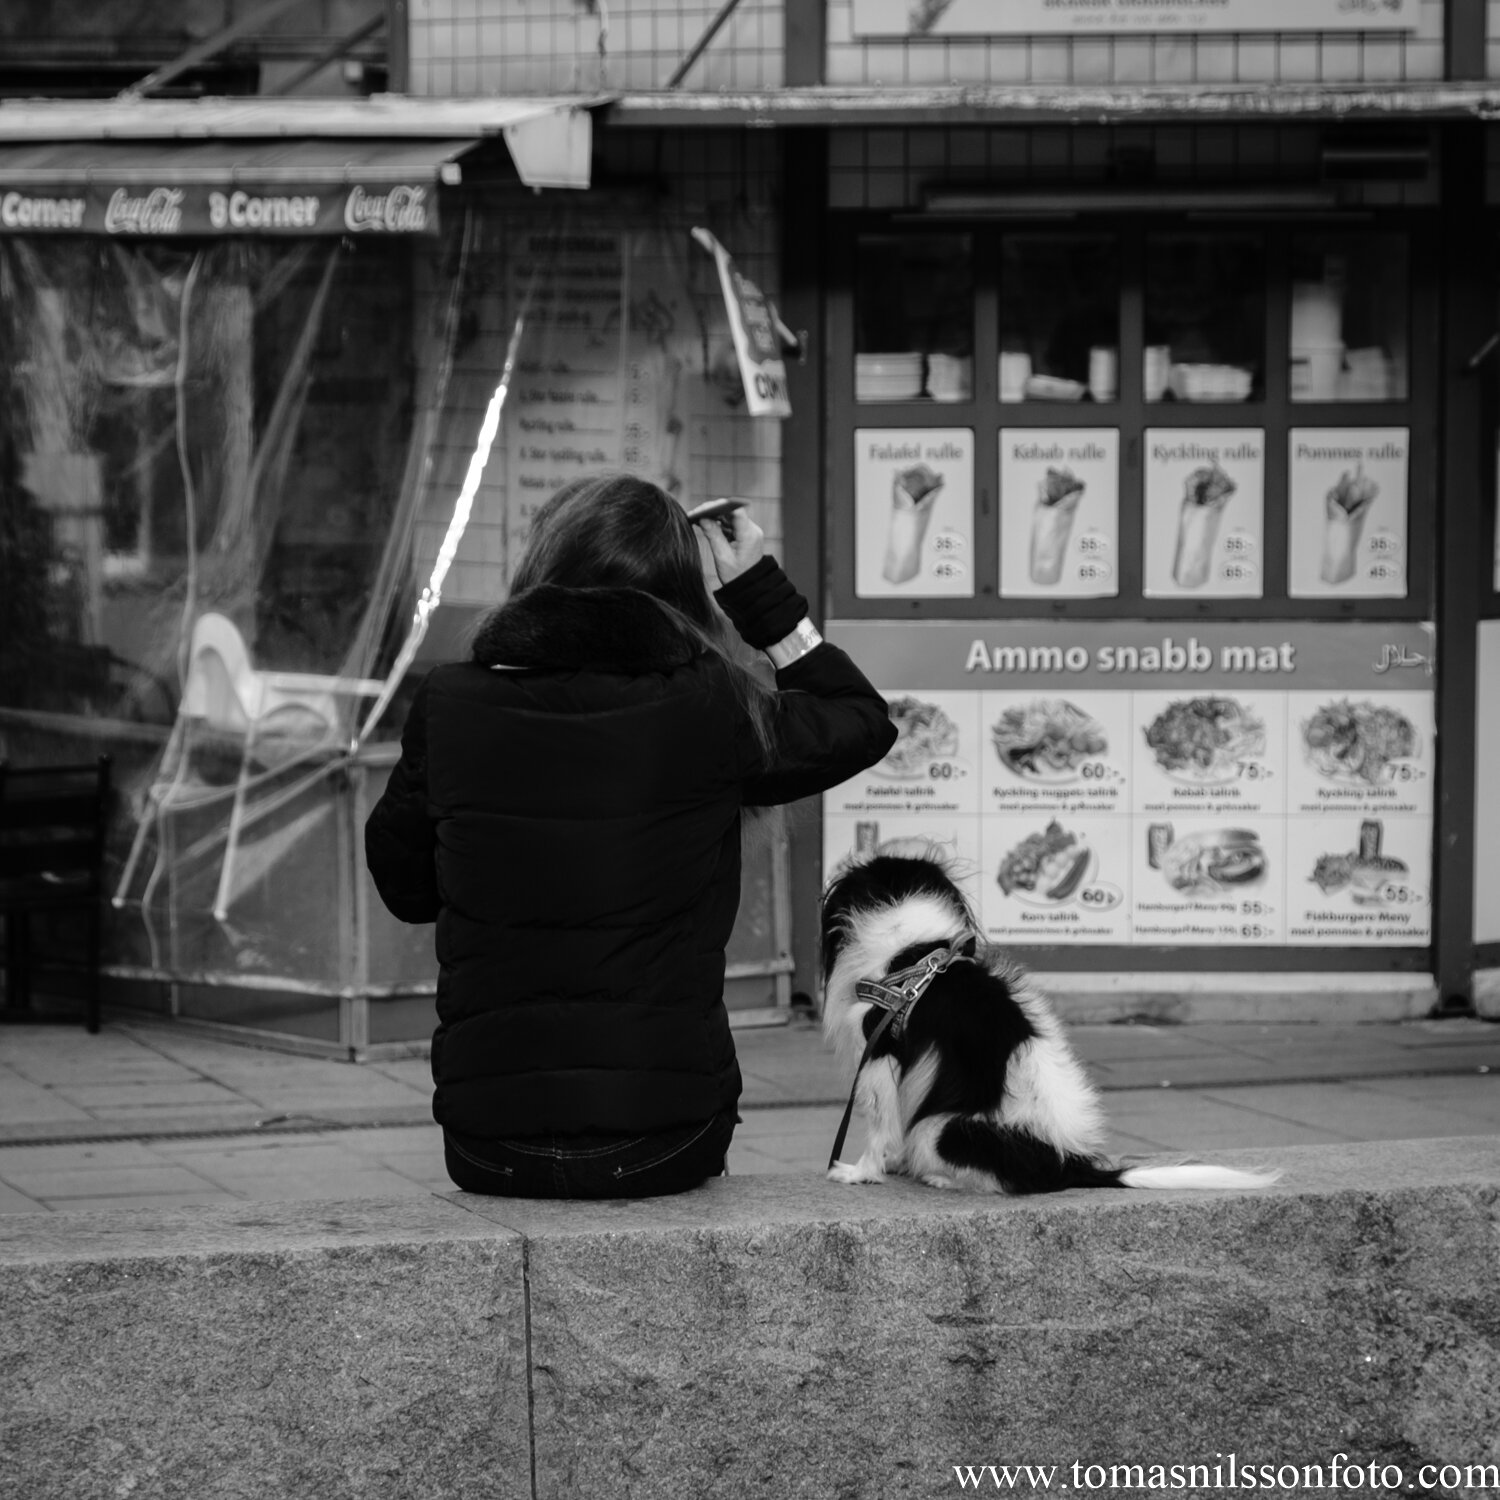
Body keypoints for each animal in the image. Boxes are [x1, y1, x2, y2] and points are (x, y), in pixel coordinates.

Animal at [822, 858, 1278, 1194]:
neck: (915, 956)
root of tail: (1067, 1165)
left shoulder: (878, 1049)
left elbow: (879, 1125)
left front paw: (860, 1173)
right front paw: (893, 1164)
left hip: (942, 1129)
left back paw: (940, 1177)